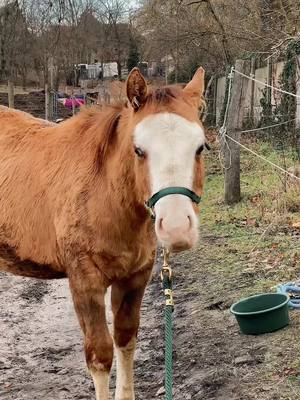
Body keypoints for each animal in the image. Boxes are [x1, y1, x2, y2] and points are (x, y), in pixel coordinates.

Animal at [0, 67, 206, 398]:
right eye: (138, 150)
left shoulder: (135, 277)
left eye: (200, 147)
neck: (104, 193)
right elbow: (100, 355)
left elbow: (125, 340)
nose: (176, 228)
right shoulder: (85, 283)